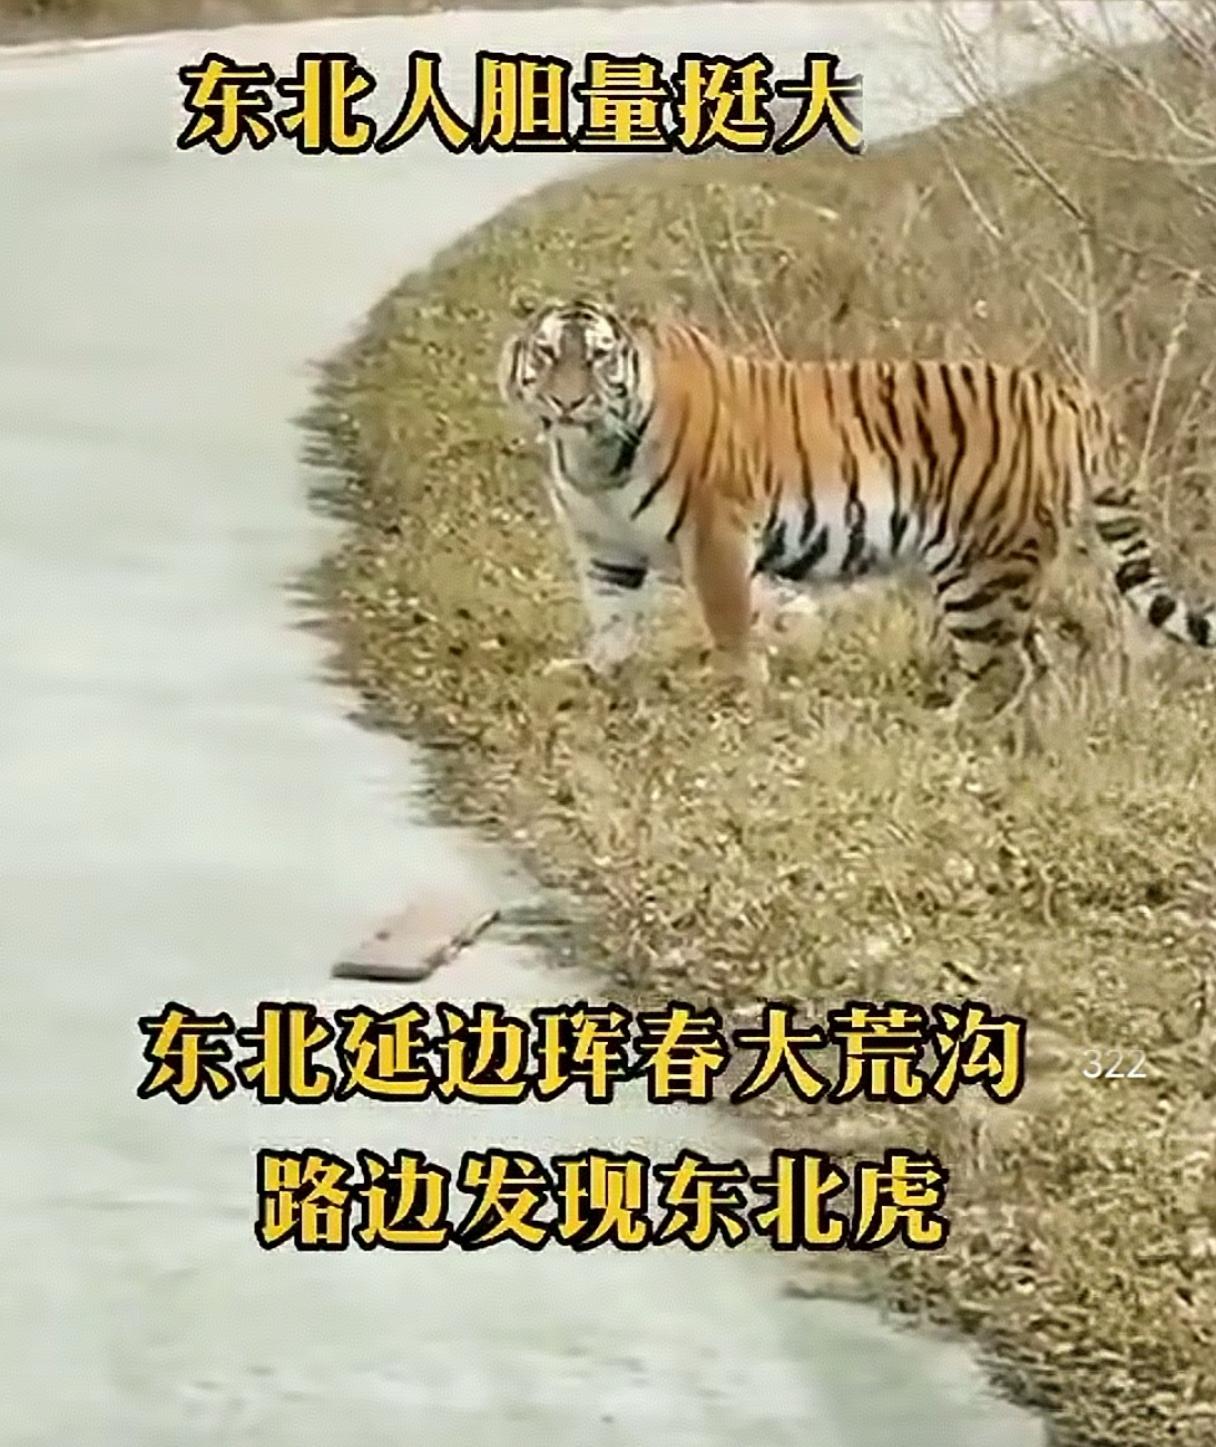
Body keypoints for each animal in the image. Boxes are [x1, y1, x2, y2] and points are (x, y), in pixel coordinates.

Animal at [497, 295, 1216, 717]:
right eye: (547, 354)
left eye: (598, 359)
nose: (567, 401)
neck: (593, 459)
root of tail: (1073, 396)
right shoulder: (605, 549)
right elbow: (611, 620)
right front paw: (596, 674)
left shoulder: (716, 531)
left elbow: (729, 624)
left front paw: (736, 693)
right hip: (1003, 567)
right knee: (1034, 661)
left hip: (980, 568)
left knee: (1001, 667)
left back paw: (944, 727)